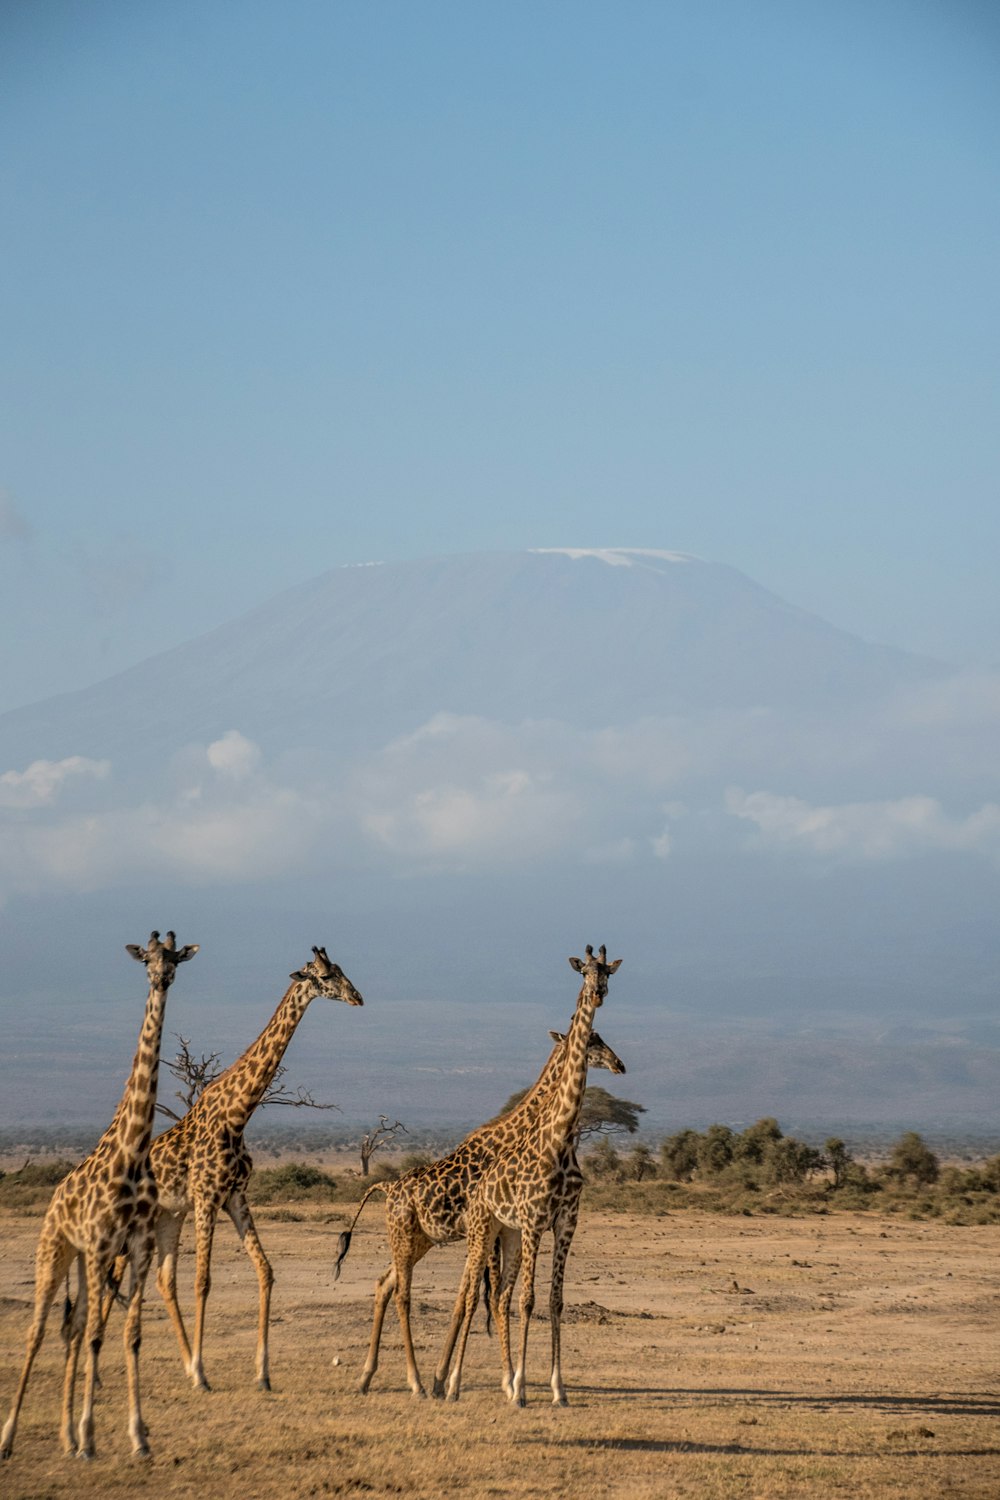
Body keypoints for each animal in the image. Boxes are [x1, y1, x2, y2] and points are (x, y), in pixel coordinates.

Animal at [0, 930, 199, 1458]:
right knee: (39, 1332)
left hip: (83, 1259)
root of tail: (54, 1199)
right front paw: (91, 1436)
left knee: (72, 1328)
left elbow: (129, 1335)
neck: (132, 1153)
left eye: (175, 959)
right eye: (146, 959)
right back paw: (11, 1438)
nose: (161, 979)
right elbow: (96, 1337)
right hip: (57, 1250)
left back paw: (65, 1435)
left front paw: (137, 1436)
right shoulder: (101, 1244)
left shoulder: (137, 1247)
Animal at [119, 942, 364, 1386]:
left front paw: (262, 1373)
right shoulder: (207, 1198)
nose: (357, 997)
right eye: (323, 977)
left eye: (341, 970)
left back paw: (180, 1362)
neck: (237, 1114)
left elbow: (265, 1271)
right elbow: (202, 1281)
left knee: (163, 1280)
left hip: (168, 1216)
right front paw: (202, 1372)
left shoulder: (235, 1196)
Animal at [335, 1026, 620, 1398]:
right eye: (593, 1041)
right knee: (402, 1294)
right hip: (407, 1236)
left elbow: (476, 1297)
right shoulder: (488, 1226)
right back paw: (415, 1382)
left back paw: (367, 1376)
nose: (618, 1064)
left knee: (384, 1283)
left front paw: (451, 1377)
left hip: (419, 1241)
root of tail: (387, 1187)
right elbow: (486, 1296)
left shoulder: (495, 1229)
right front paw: (488, 1379)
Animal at [434, 936, 620, 1404]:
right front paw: (519, 1387)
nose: (598, 994)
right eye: (584, 972)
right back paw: (450, 1381)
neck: (561, 1140)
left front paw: (557, 1388)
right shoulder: (535, 1220)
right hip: (485, 1230)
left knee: (495, 1295)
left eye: (608, 972)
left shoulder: (565, 1221)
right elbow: (528, 1301)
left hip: (509, 1235)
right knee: (472, 1296)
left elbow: (553, 1301)